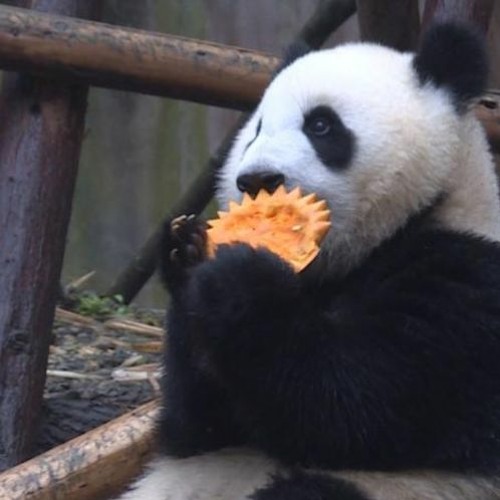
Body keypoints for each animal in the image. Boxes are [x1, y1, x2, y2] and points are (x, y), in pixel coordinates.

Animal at [119, 23, 500, 500]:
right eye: (257, 128)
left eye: (321, 125)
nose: (257, 179)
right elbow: (198, 422)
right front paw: (185, 251)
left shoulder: (461, 287)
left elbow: (355, 405)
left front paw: (238, 281)